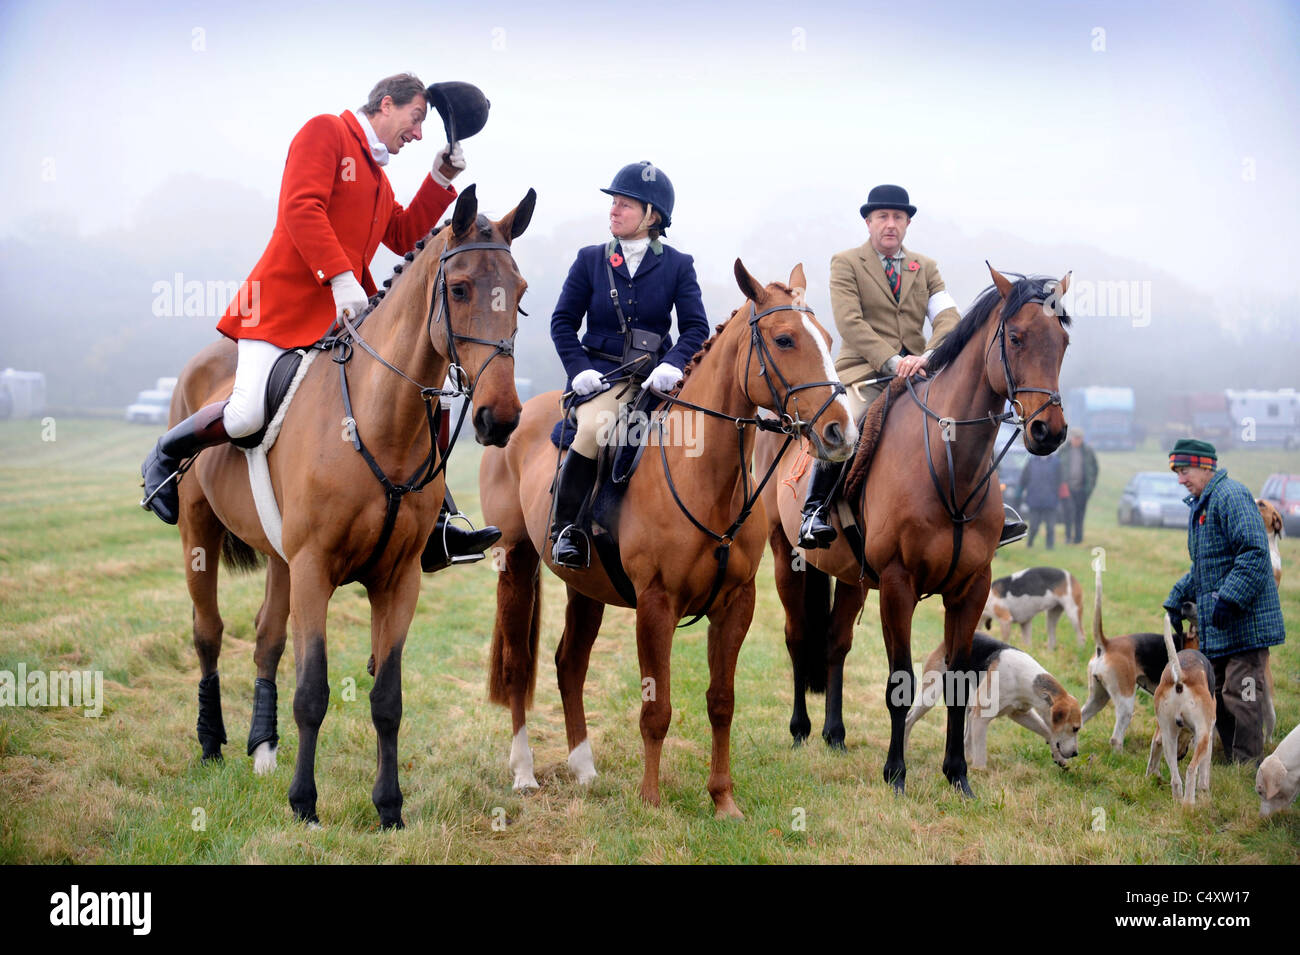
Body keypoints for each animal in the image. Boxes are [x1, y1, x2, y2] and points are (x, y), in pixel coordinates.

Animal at [175, 187, 535, 831]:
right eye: (460, 288)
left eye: (518, 295)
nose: (501, 418)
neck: (378, 419)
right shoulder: (315, 568)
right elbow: (313, 691)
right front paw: (304, 802)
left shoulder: (396, 580)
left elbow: (387, 698)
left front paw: (389, 807)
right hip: (201, 533)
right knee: (209, 632)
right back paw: (212, 742)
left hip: (281, 561)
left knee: (266, 638)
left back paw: (262, 750)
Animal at [483, 263, 857, 821]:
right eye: (785, 339)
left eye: (829, 340)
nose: (842, 433)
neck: (702, 474)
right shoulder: (656, 604)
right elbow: (656, 708)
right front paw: (651, 800)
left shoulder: (736, 603)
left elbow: (721, 702)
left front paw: (723, 800)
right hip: (516, 565)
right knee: (517, 666)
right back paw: (524, 773)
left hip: (585, 587)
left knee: (570, 665)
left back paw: (584, 768)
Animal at [759, 265, 1071, 795]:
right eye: (1016, 337)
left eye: (1064, 341)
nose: (1049, 431)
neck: (950, 467)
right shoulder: (898, 585)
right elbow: (898, 684)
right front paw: (896, 774)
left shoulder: (971, 588)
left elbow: (958, 683)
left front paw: (957, 775)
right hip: (788, 560)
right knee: (798, 637)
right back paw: (801, 730)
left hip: (852, 578)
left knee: (836, 642)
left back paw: (834, 734)